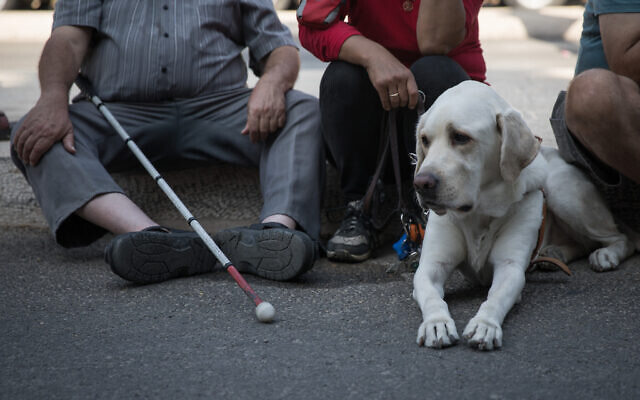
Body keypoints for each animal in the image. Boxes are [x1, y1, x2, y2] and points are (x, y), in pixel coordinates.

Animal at [412, 81, 632, 350]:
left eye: (460, 137)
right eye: (425, 140)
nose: (421, 183)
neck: (480, 213)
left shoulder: (510, 267)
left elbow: (495, 298)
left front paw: (485, 324)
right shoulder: (430, 266)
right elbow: (432, 297)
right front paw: (437, 323)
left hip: (561, 190)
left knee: (621, 238)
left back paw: (606, 254)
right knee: (583, 243)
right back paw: (554, 253)